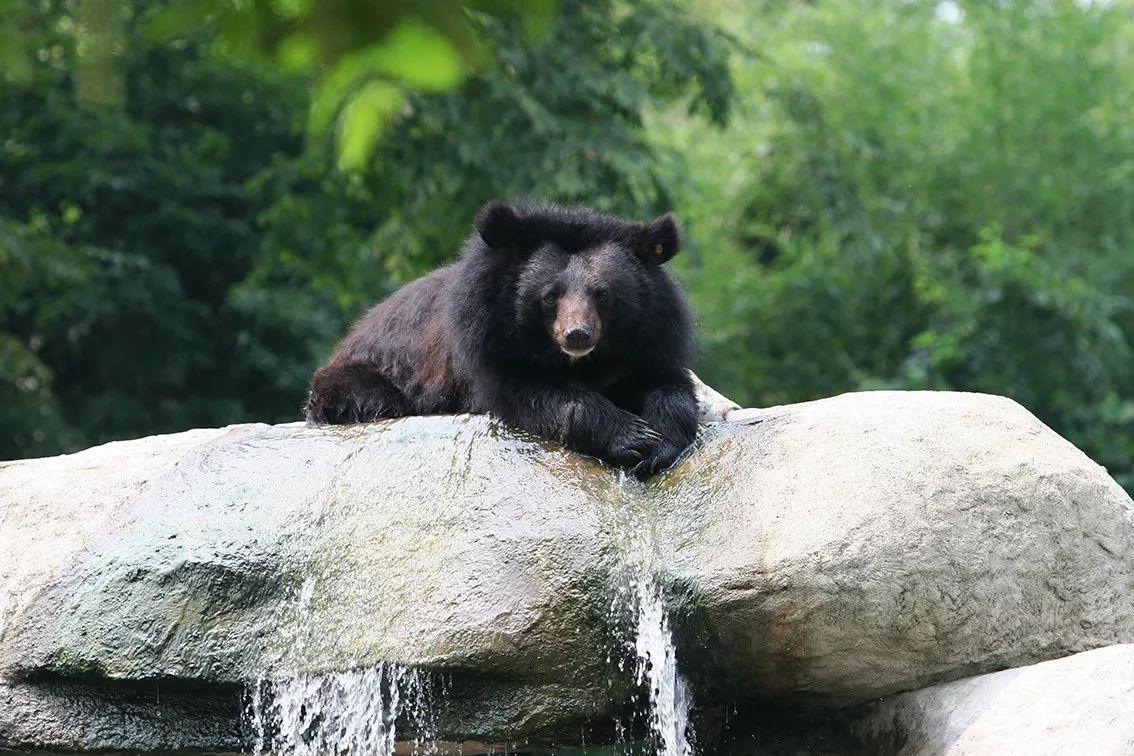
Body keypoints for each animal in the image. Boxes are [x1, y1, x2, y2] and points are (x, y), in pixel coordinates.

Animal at [310, 204, 698, 476]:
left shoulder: (649, 339)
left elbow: (668, 385)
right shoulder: (486, 348)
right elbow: (536, 394)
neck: (578, 361)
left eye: (602, 295)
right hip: (365, 375)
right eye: (550, 296)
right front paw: (632, 439)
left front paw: (658, 442)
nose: (577, 335)